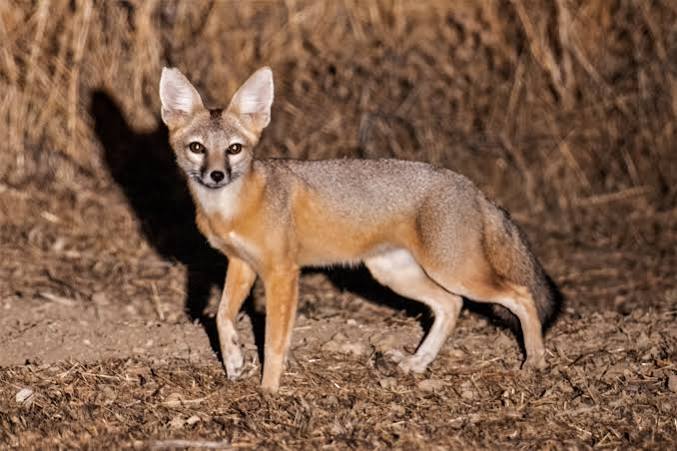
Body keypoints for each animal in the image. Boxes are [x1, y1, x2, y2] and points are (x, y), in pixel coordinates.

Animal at [159, 66, 559, 393]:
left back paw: (535, 362)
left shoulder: (281, 272)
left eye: (234, 149)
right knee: (451, 305)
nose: (216, 175)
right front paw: (235, 362)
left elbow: (273, 341)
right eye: (197, 148)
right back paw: (418, 363)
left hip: (456, 272)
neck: (230, 209)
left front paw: (268, 391)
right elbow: (222, 316)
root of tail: (471, 186)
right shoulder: (241, 265)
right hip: (395, 275)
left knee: (521, 295)